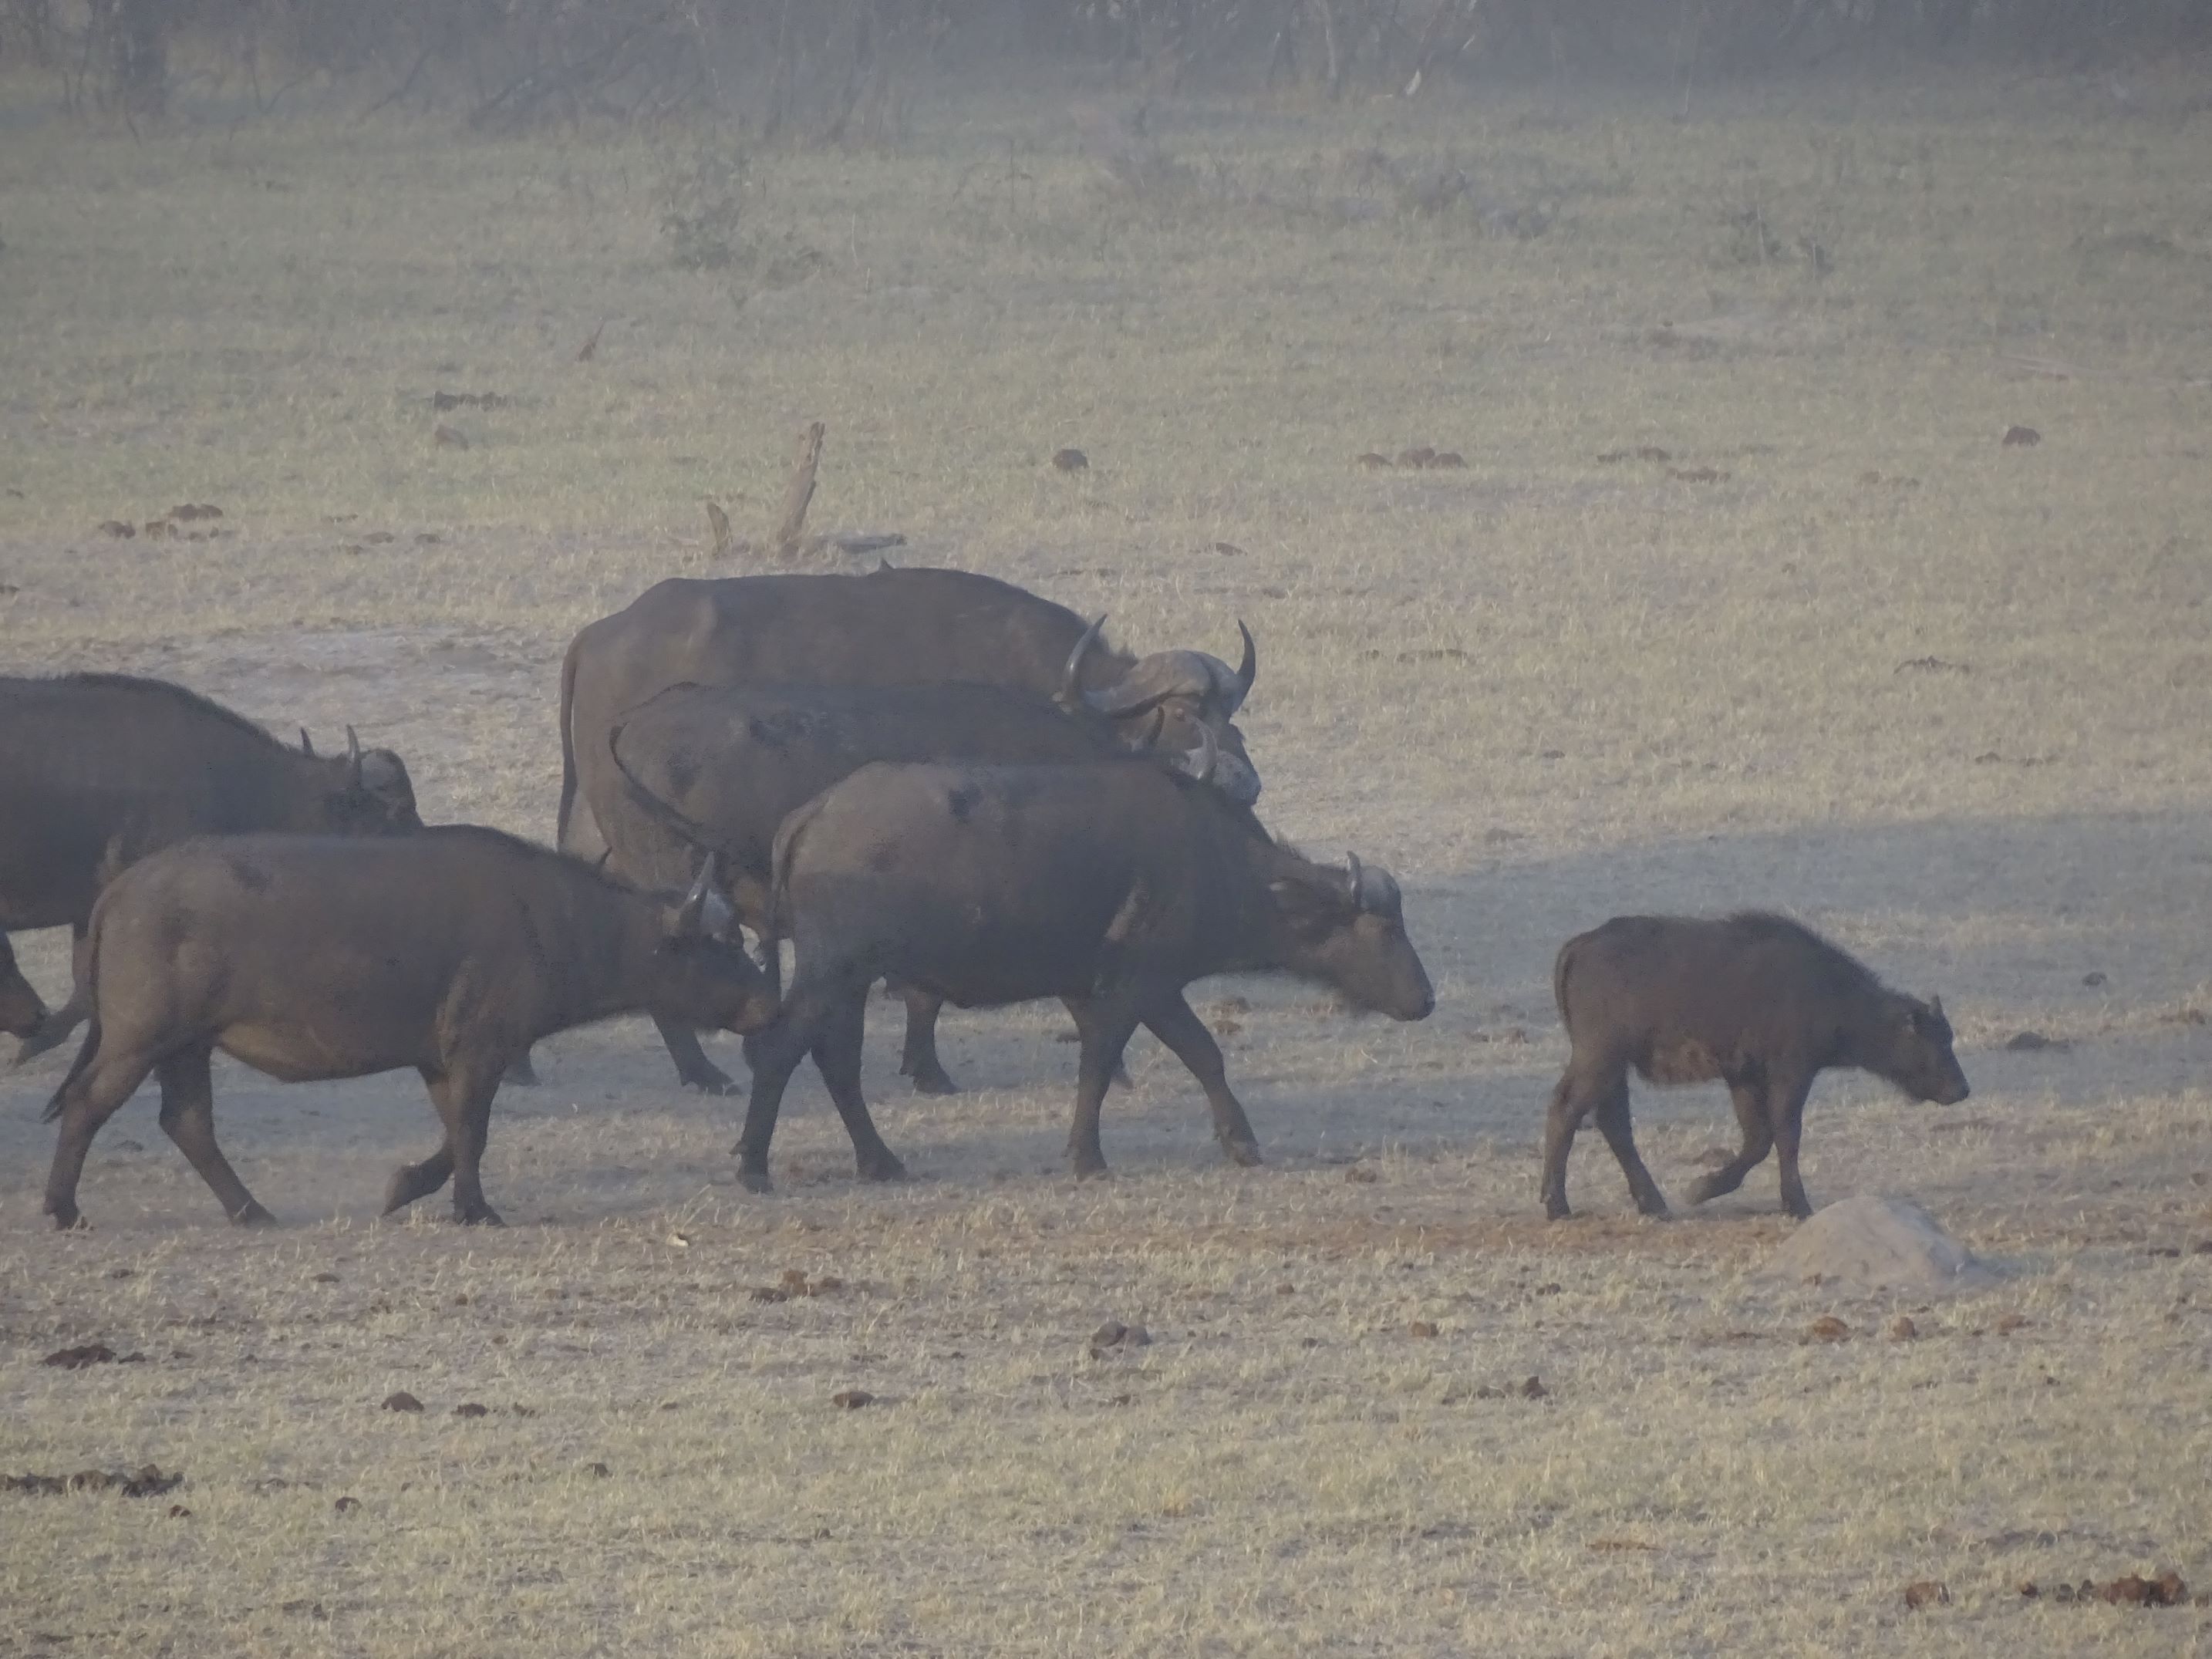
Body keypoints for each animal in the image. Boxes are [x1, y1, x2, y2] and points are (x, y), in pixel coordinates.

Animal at [725, 752, 1433, 1194]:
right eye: (1385, 929)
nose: (1425, 999)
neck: (1210, 857)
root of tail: (814, 813)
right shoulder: (1137, 986)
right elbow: (1106, 1063)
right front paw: (1087, 1157)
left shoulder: (1137, 990)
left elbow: (1200, 1055)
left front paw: (1241, 1142)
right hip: (832, 971)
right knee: (782, 1050)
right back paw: (754, 1165)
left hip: (848, 980)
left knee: (836, 1061)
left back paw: (879, 1161)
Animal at [1539, 915, 1973, 1229]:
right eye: (1932, 1040)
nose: (1961, 1089)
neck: (1830, 991)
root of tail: (1583, 944)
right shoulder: (1790, 1074)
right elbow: (1785, 1136)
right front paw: (1797, 1204)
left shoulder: (1744, 1077)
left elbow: (1758, 1139)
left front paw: (1702, 1188)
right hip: (1599, 1061)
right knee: (1567, 1109)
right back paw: (1557, 1205)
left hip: (1614, 1069)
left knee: (1613, 1123)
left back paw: (1654, 1204)